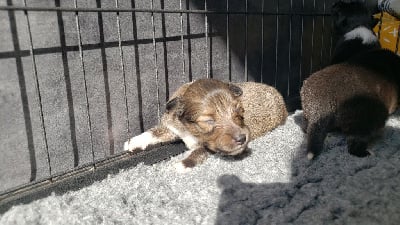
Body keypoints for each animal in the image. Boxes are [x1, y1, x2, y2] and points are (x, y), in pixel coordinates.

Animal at [123, 78, 286, 172]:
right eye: (208, 121)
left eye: (240, 112)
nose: (242, 139)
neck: (189, 130)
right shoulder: (173, 125)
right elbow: (156, 132)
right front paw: (132, 142)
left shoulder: (209, 145)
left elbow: (199, 152)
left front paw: (182, 164)